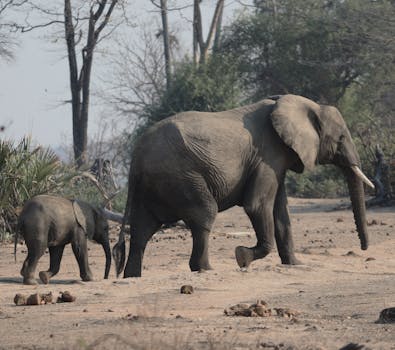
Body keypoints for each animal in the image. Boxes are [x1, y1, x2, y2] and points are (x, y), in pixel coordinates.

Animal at [113, 94, 374, 278]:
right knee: (204, 214)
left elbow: (280, 210)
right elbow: (257, 205)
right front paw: (242, 257)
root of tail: (136, 157)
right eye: (341, 138)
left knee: (142, 229)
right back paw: (206, 269)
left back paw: (132, 277)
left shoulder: (276, 159)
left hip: (152, 184)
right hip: (181, 177)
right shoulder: (268, 155)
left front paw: (295, 264)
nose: (364, 249)